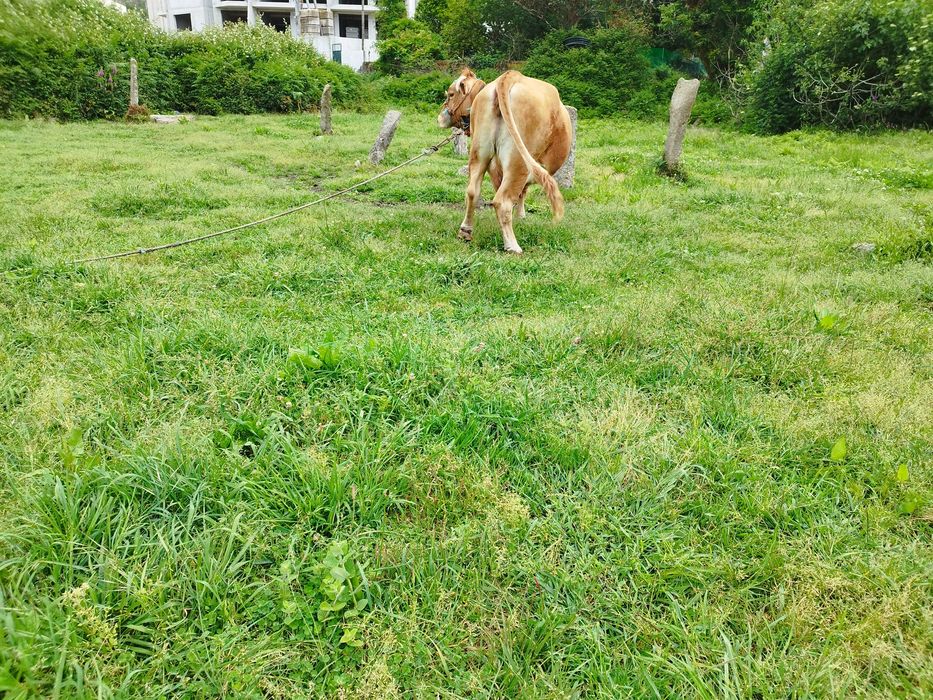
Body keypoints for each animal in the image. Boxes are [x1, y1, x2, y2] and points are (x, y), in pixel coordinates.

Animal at [438, 68, 572, 254]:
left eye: (451, 94)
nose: (440, 117)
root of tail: (508, 76)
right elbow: (522, 191)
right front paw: (521, 216)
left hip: (480, 153)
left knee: (473, 191)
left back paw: (465, 231)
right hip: (518, 159)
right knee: (502, 201)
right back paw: (512, 246)